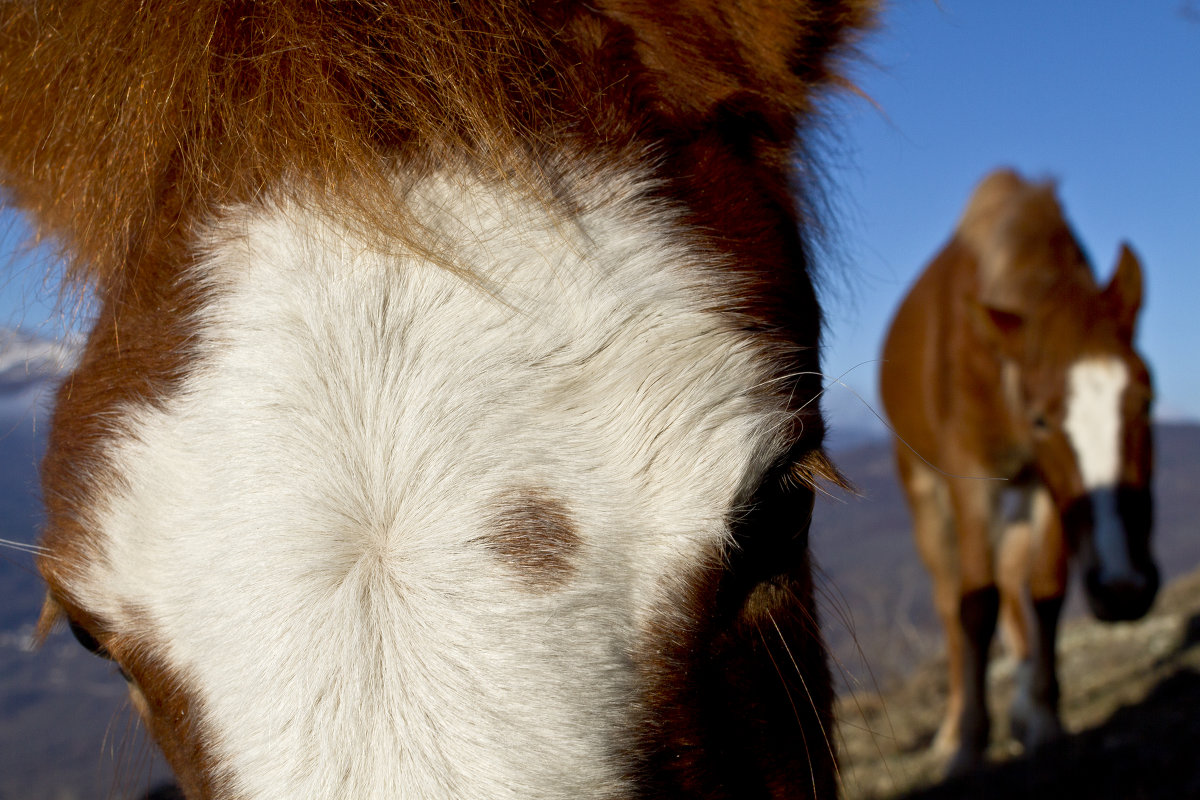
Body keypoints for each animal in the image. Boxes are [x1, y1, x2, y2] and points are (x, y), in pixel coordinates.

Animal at [883, 169, 1152, 777]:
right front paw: (968, 743)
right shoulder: (969, 477)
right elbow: (974, 604)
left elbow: (1044, 587)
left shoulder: (1046, 484)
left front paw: (1045, 716)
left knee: (1011, 574)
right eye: (1041, 419)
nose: (1124, 588)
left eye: (1145, 399)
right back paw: (953, 726)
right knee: (949, 597)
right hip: (922, 488)